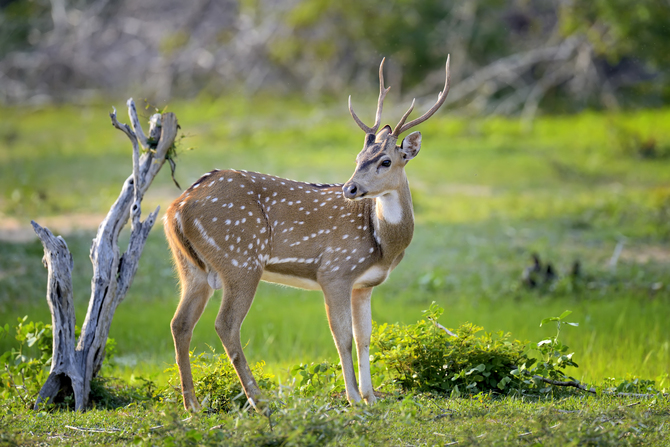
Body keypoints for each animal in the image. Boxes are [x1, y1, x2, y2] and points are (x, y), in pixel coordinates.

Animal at [165, 56, 454, 412]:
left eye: (385, 161)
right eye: (358, 158)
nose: (350, 188)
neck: (382, 244)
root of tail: (176, 209)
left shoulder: (364, 284)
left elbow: (365, 336)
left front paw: (371, 397)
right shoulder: (335, 271)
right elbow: (342, 337)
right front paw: (353, 397)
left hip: (191, 267)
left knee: (180, 323)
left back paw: (193, 405)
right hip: (240, 259)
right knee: (226, 324)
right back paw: (259, 401)